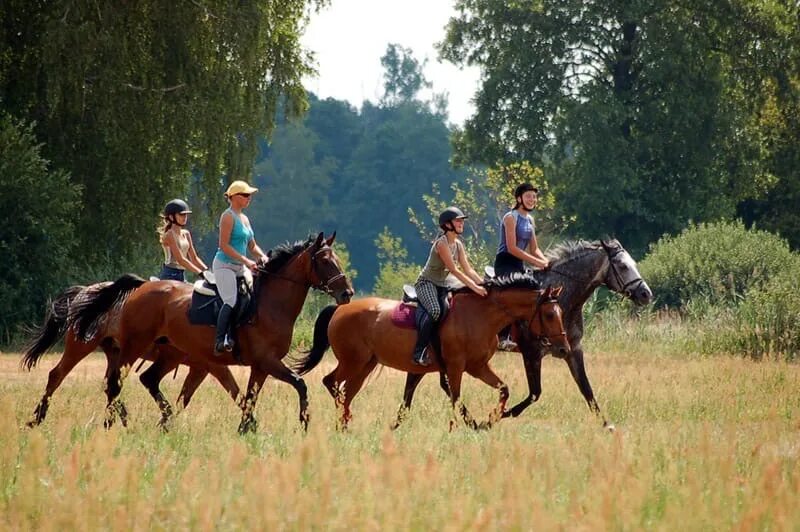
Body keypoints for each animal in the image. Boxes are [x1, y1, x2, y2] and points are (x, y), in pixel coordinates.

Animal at [21, 282, 241, 428]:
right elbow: (234, 392)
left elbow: (186, 398)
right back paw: (37, 418)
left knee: (109, 384)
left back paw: (119, 419)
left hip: (114, 352)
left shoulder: (201, 368)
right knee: (57, 375)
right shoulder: (210, 366)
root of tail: (84, 290)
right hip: (80, 346)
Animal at [70, 233, 352, 432]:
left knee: (147, 379)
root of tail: (140, 288)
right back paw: (114, 424)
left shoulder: (259, 366)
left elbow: (249, 398)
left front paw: (246, 430)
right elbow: (299, 384)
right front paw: (304, 422)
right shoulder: (267, 361)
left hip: (168, 353)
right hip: (133, 346)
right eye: (325, 261)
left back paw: (162, 418)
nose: (346, 294)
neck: (270, 303)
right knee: (114, 383)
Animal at [290, 276, 568, 430]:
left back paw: (345, 424)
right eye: (549, 314)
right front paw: (458, 428)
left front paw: (490, 420)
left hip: (366, 364)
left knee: (346, 392)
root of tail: (339, 310)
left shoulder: (477, 367)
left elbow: (503, 389)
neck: (480, 315)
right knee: (331, 382)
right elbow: (456, 398)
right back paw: (343, 420)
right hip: (353, 361)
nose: (563, 348)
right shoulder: (456, 367)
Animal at [390, 239, 652, 430]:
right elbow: (535, 393)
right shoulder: (532, 352)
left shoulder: (572, 350)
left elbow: (586, 389)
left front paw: (607, 425)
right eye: (623, 266)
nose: (645, 294)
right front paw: (501, 414)